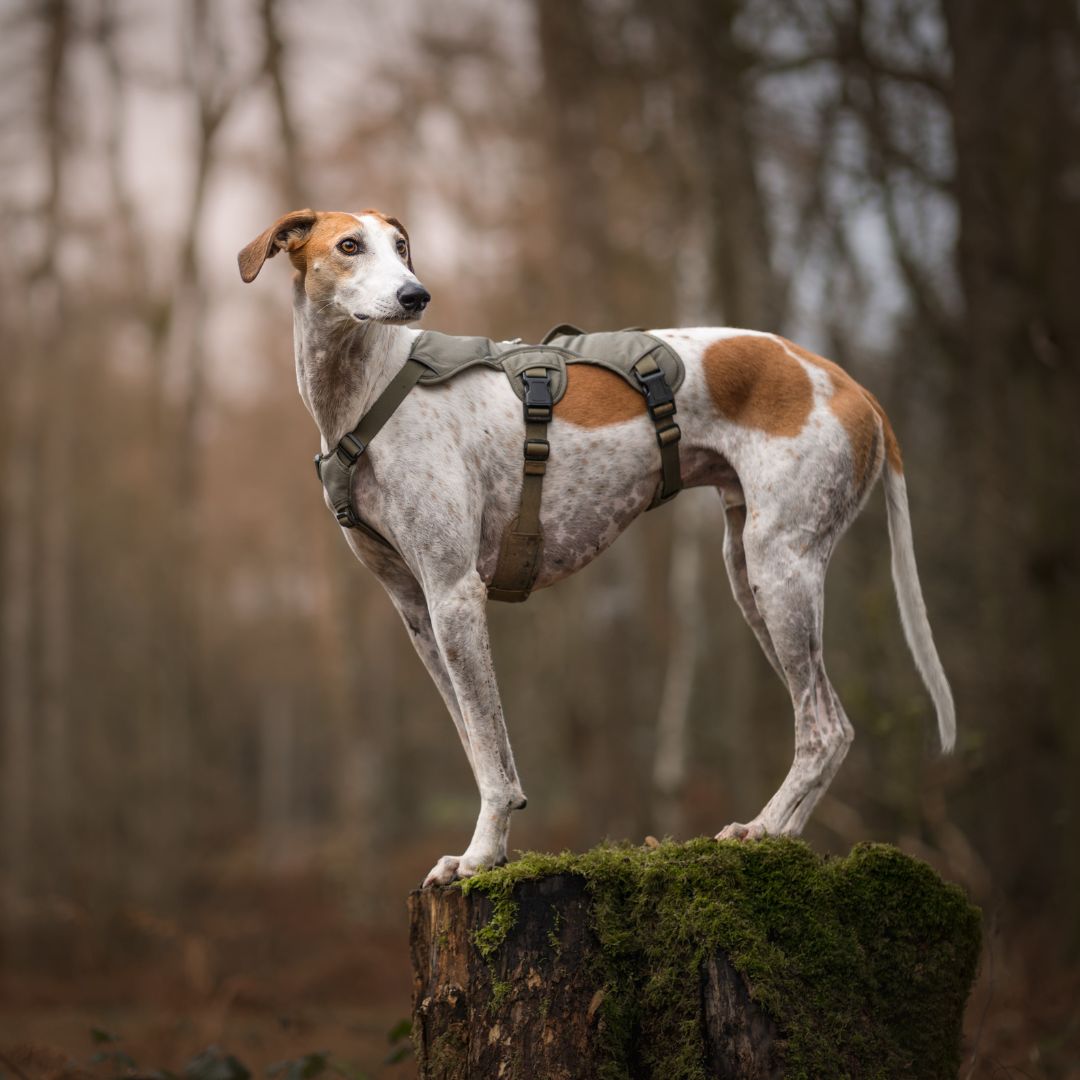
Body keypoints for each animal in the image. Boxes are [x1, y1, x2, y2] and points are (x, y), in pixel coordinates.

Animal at [238, 204, 954, 885]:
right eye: (349, 245)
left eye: (402, 247)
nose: (417, 295)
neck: (368, 390)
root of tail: (851, 384)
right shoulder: (417, 610)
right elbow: (478, 741)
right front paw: (490, 851)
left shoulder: (455, 596)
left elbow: (491, 750)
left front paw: (479, 857)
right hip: (750, 576)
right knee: (828, 721)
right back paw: (778, 832)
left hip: (781, 569)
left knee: (824, 727)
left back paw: (762, 828)